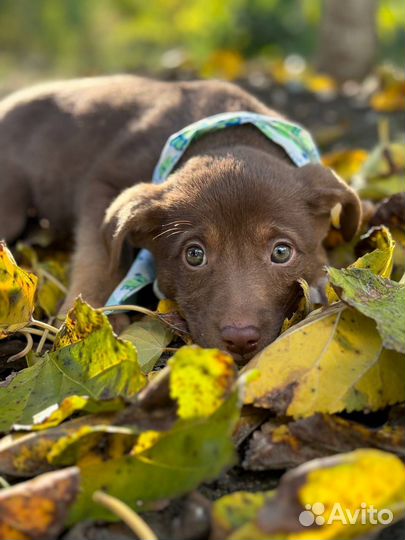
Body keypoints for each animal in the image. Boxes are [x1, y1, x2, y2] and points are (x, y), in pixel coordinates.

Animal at [0, 75, 360, 362]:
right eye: (194, 255)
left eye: (282, 252)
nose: (240, 338)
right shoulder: (103, 183)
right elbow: (101, 257)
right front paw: (95, 315)